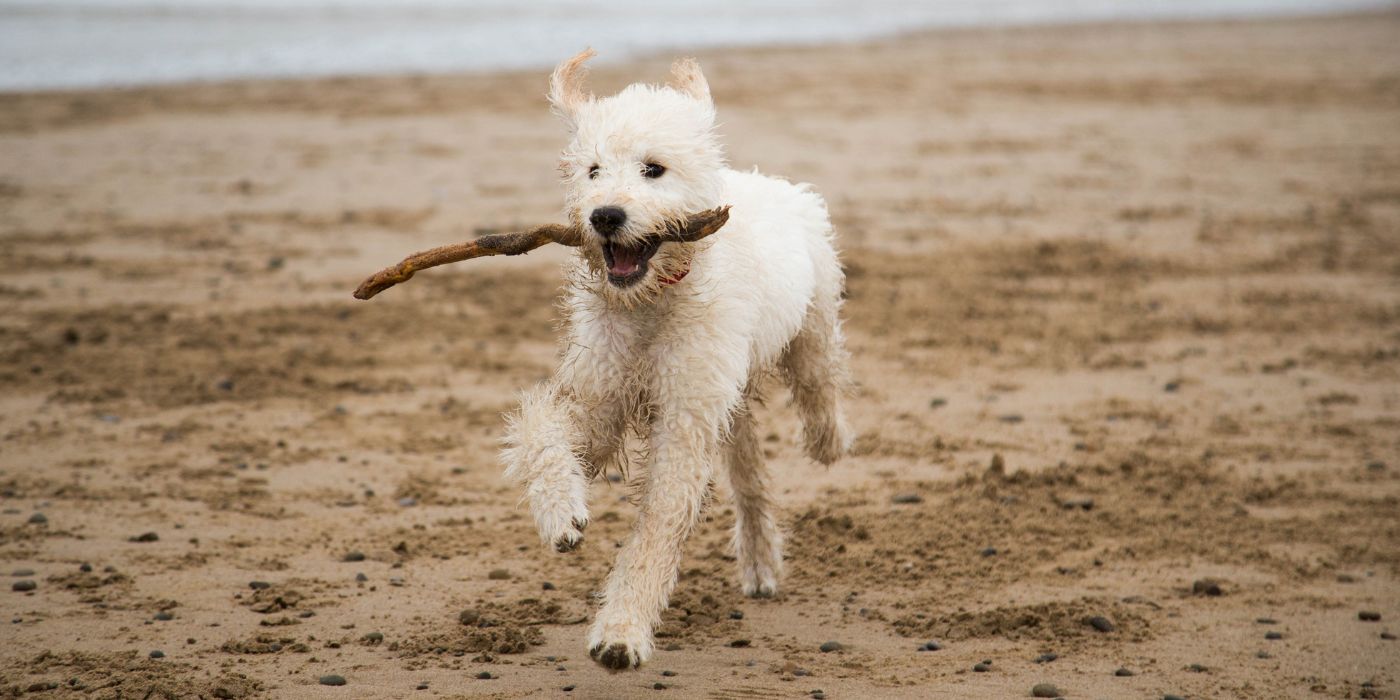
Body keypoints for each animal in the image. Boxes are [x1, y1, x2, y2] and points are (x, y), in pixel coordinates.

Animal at [504, 49, 851, 672]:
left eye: (654, 169)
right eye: (593, 171)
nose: (605, 216)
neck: (652, 300)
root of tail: (760, 180)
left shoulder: (685, 420)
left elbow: (657, 526)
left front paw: (621, 632)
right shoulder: (603, 396)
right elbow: (542, 429)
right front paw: (560, 513)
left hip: (809, 320)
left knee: (820, 377)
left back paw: (828, 438)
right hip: (727, 392)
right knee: (750, 475)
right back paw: (760, 562)